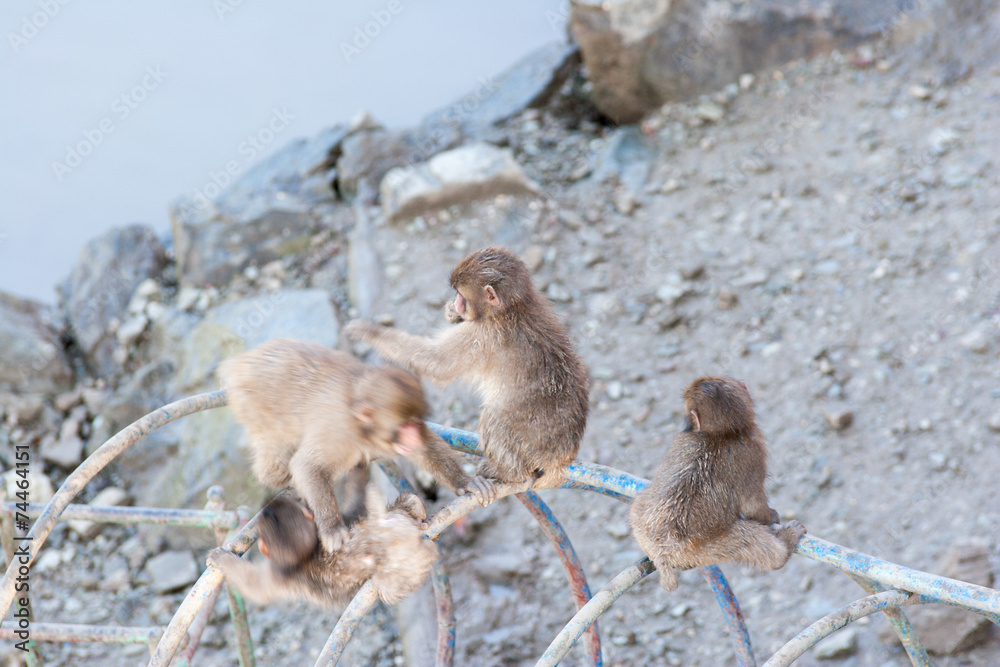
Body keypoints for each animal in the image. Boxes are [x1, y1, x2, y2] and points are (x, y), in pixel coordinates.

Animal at [207, 488, 438, 607]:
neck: (307, 554)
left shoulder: (279, 576)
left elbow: (254, 587)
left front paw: (219, 557)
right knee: (408, 501)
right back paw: (417, 511)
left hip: (402, 568)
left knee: (390, 590)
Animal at [218, 338, 495, 553]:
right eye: (404, 427)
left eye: (416, 423)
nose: (413, 437)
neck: (363, 429)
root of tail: (240, 363)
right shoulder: (338, 433)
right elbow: (307, 466)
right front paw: (332, 529)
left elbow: (426, 450)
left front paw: (466, 483)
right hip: (253, 406)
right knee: (275, 460)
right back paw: (282, 479)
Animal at [343, 246, 589, 489]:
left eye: (461, 294)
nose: (457, 302)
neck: (512, 308)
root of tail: (560, 457)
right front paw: (451, 312)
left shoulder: (484, 335)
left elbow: (437, 363)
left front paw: (371, 332)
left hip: (528, 442)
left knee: (495, 417)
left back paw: (508, 474)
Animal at [628, 376, 806, 591]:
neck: (721, 433)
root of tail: (662, 551)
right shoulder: (754, 449)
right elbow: (753, 506)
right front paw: (770, 516)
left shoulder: (682, 439)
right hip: (704, 548)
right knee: (752, 540)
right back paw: (784, 547)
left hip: (642, 526)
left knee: (637, 506)